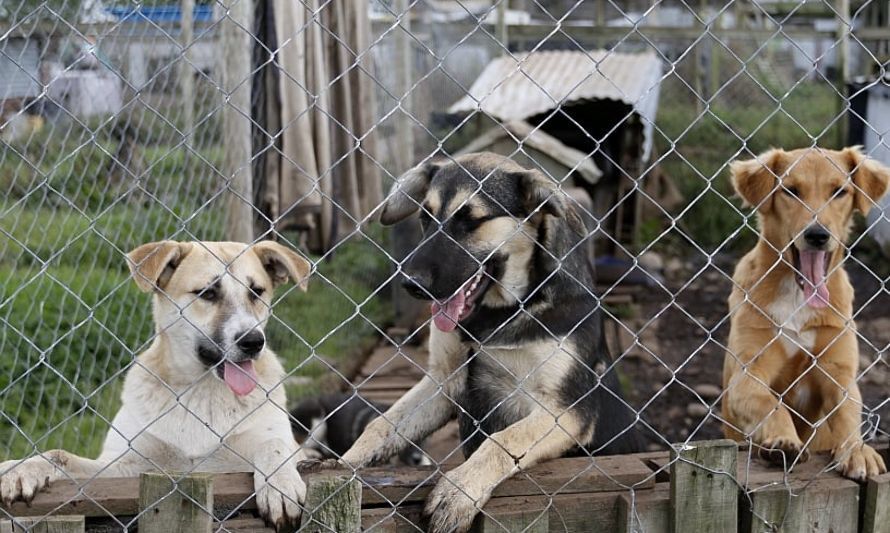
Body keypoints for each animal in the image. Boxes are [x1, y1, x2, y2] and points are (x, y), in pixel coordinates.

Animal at [336, 152, 636, 528]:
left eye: (472, 220)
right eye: (425, 217)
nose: (410, 284)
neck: (500, 312)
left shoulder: (567, 411)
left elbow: (503, 439)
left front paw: (458, 492)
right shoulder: (444, 380)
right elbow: (381, 426)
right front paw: (340, 466)